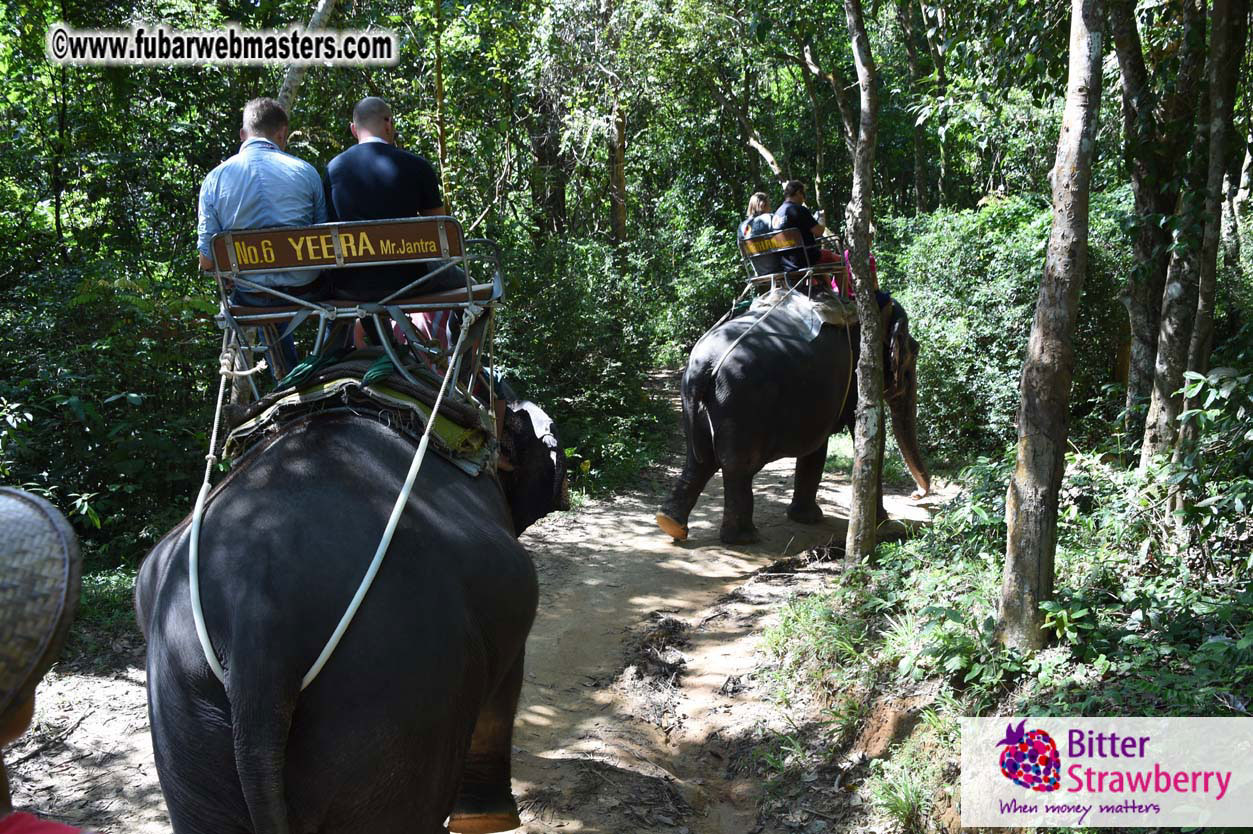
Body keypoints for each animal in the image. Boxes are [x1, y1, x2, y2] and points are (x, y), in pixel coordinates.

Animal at [656, 292, 931, 544]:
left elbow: (817, 447)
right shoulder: (859, 375)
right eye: (914, 352)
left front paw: (807, 518)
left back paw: (671, 523)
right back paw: (744, 538)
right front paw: (884, 522)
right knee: (737, 466)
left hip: (697, 401)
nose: (916, 496)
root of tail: (705, 366)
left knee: (699, 461)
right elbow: (869, 435)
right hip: (740, 401)